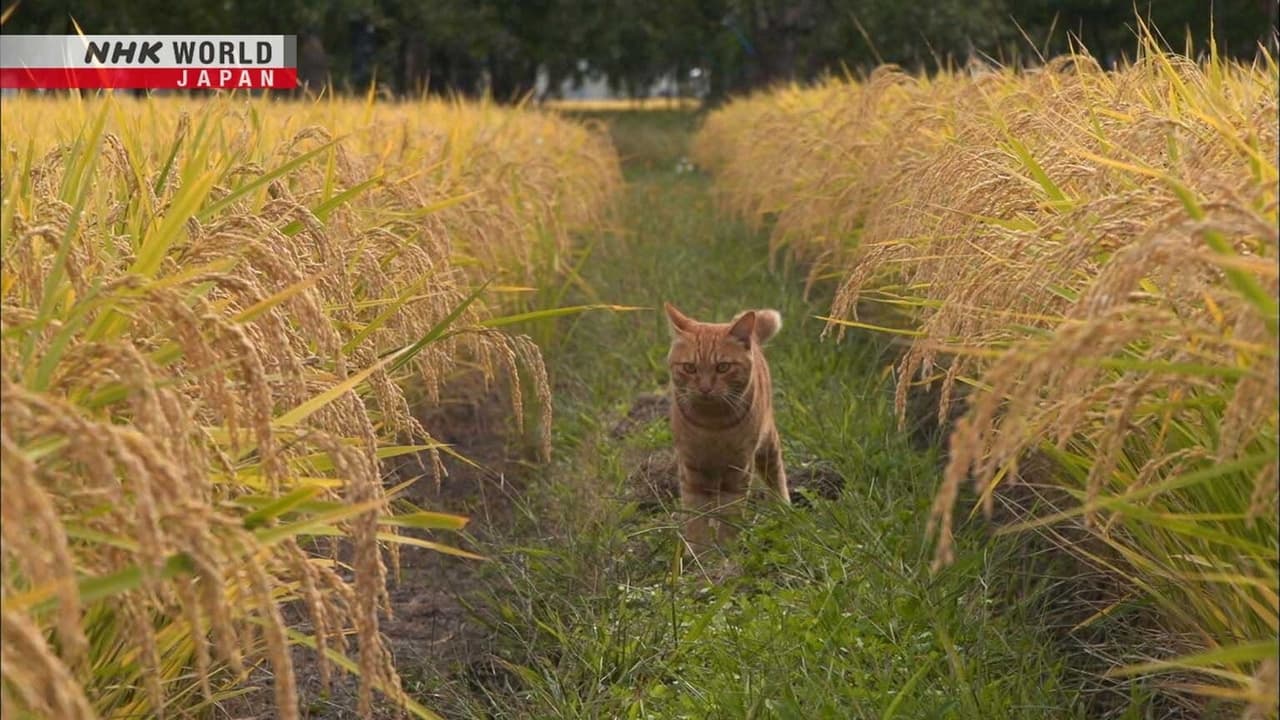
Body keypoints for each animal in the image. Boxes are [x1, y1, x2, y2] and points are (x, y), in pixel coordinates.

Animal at [665, 299, 783, 550]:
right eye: (689, 368)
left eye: (723, 367)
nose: (705, 388)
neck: (713, 425)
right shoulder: (693, 470)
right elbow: (696, 517)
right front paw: (699, 552)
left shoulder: (738, 470)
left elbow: (731, 516)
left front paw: (727, 549)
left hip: (767, 444)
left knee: (776, 475)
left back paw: (785, 511)